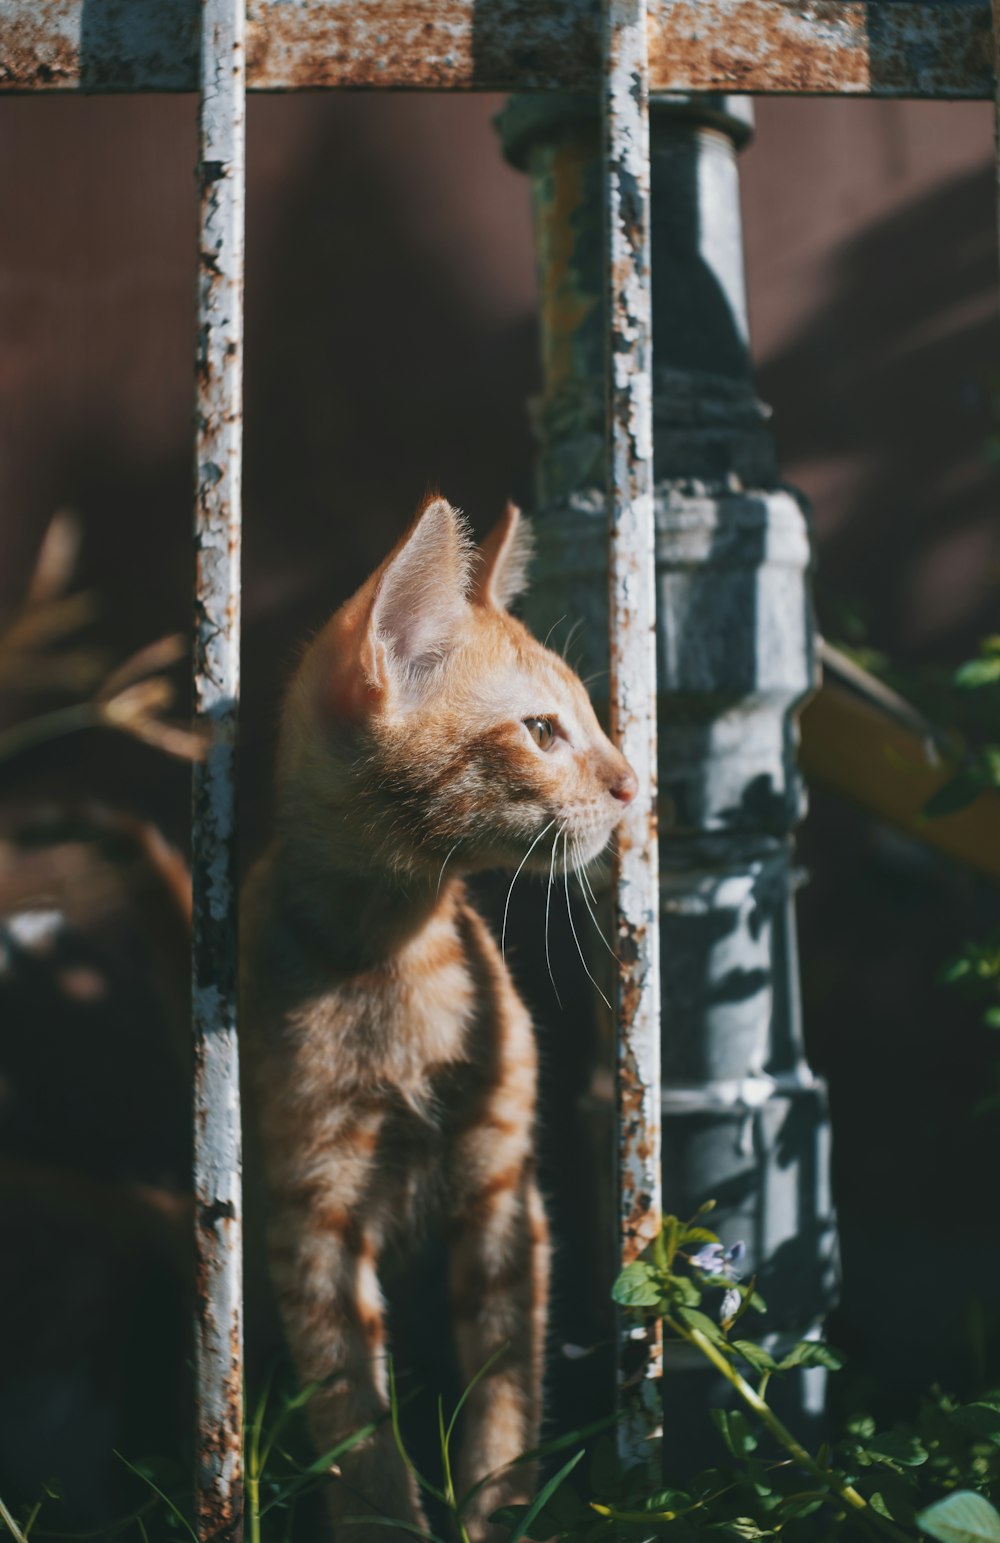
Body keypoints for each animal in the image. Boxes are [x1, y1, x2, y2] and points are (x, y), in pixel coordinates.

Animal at [240, 499, 632, 1536]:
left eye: (591, 719)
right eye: (541, 730)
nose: (632, 785)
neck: (395, 957)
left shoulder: (503, 1189)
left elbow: (507, 1392)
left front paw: (502, 1512)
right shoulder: (312, 1210)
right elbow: (354, 1421)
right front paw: (389, 1516)